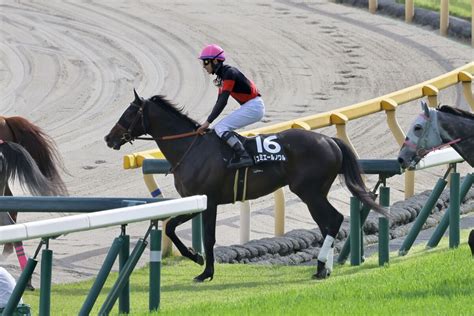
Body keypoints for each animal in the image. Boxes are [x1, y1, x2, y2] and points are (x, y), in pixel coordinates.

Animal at [104, 90, 388, 282]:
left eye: (129, 113)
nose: (109, 138)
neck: (190, 148)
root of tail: (330, 141)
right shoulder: (197, 200)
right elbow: (171, 227)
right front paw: (197, 257)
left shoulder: (208, 200)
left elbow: (205, 236)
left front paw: (205, 269)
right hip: (314, 193)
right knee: (327, 223)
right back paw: (324, 268)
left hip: (310, 192)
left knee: (334, 219)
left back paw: (320, 268)